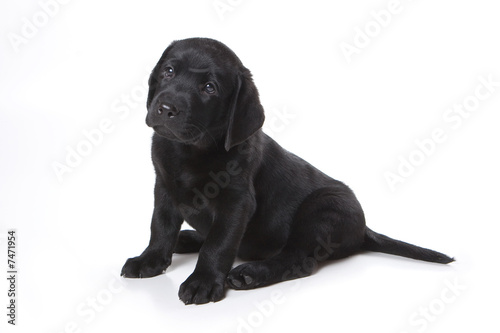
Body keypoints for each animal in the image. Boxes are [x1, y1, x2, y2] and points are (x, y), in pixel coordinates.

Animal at [121, 38, 454, 304]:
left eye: (209, 88)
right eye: (169, 71)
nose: (166, 108)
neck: (190, 150)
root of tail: (363, 230)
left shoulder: (236, 202)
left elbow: (219, 244)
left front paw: (202, 281)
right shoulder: (164, 188)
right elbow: (160, 228)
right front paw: (149, 260)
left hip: (322, 210)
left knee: (297, 260)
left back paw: (252, 273)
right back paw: (188, 238)